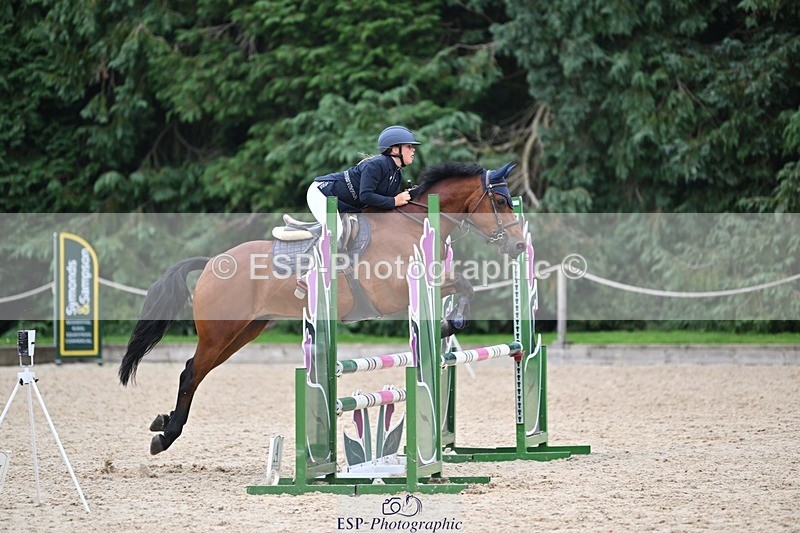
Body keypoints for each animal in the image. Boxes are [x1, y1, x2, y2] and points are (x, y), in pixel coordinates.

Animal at [119, 161, 526, 455]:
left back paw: (162, 424)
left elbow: (464, 285)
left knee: (196, 371)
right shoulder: (398, 288)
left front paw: (447, 325)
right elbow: (463, 284)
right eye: (501, 202)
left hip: (242, 333)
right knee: (190, 373)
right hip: (221, 332)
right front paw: (448, 324)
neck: (414, 222)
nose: (520, 246)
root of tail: (210, 264)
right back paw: (165, 436)